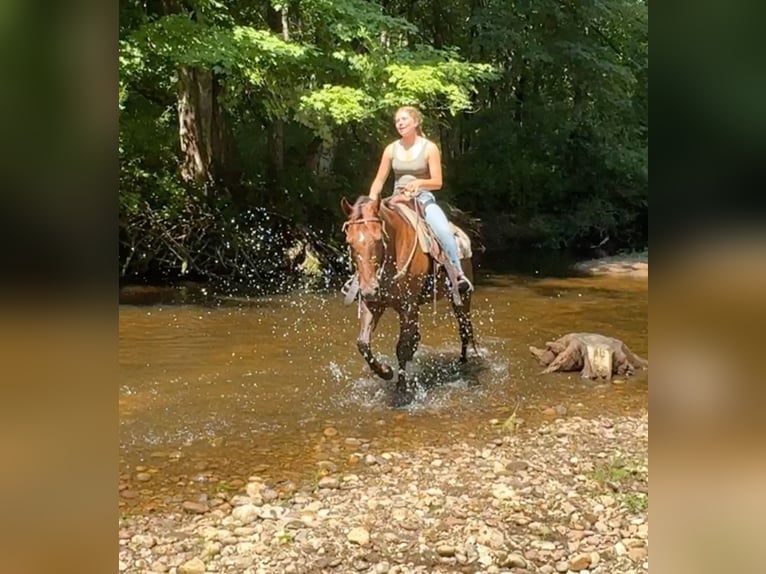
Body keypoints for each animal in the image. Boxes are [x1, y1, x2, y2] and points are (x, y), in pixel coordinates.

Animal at [340, 196, 474, 408]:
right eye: (350, 242)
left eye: (378, 239)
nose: (368, 290)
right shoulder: (373, 304)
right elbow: (363, 344)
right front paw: (386, 372)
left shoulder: (407, 307)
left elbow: (402, 348)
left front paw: (401, 389)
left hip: (461, 298)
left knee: (464, 330)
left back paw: (462, 363)